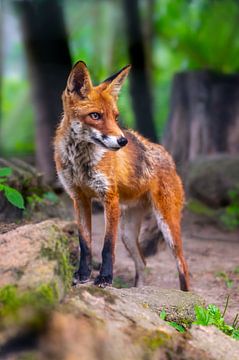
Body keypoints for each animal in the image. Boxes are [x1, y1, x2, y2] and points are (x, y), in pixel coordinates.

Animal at [54, 61, 190, 290]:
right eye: (95, 116)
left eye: (115, 117)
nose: (122, 141)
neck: (80, 162)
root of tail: (168, 156)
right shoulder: (79, 199)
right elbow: (85, 244)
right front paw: (82, 276)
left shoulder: (110, 198)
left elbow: (107, 246)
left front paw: (105, 278)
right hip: (128, 233)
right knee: (142, 263)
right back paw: (139, 290)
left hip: (167, 226)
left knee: (183, 266)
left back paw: (186, 294)